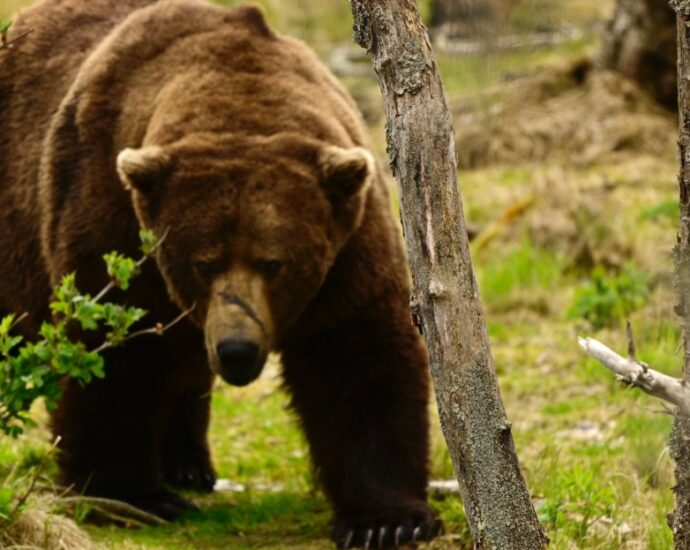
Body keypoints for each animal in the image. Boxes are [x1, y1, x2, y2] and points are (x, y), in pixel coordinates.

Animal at [0, 0, 439, 546]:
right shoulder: (113, 215)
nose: (236, 350)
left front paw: (386, 522)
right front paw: (128, 496)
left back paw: (189, 465)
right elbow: (113, 350)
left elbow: (357, 355)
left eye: (274, 263)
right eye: (203, 262)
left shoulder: (348, 243)